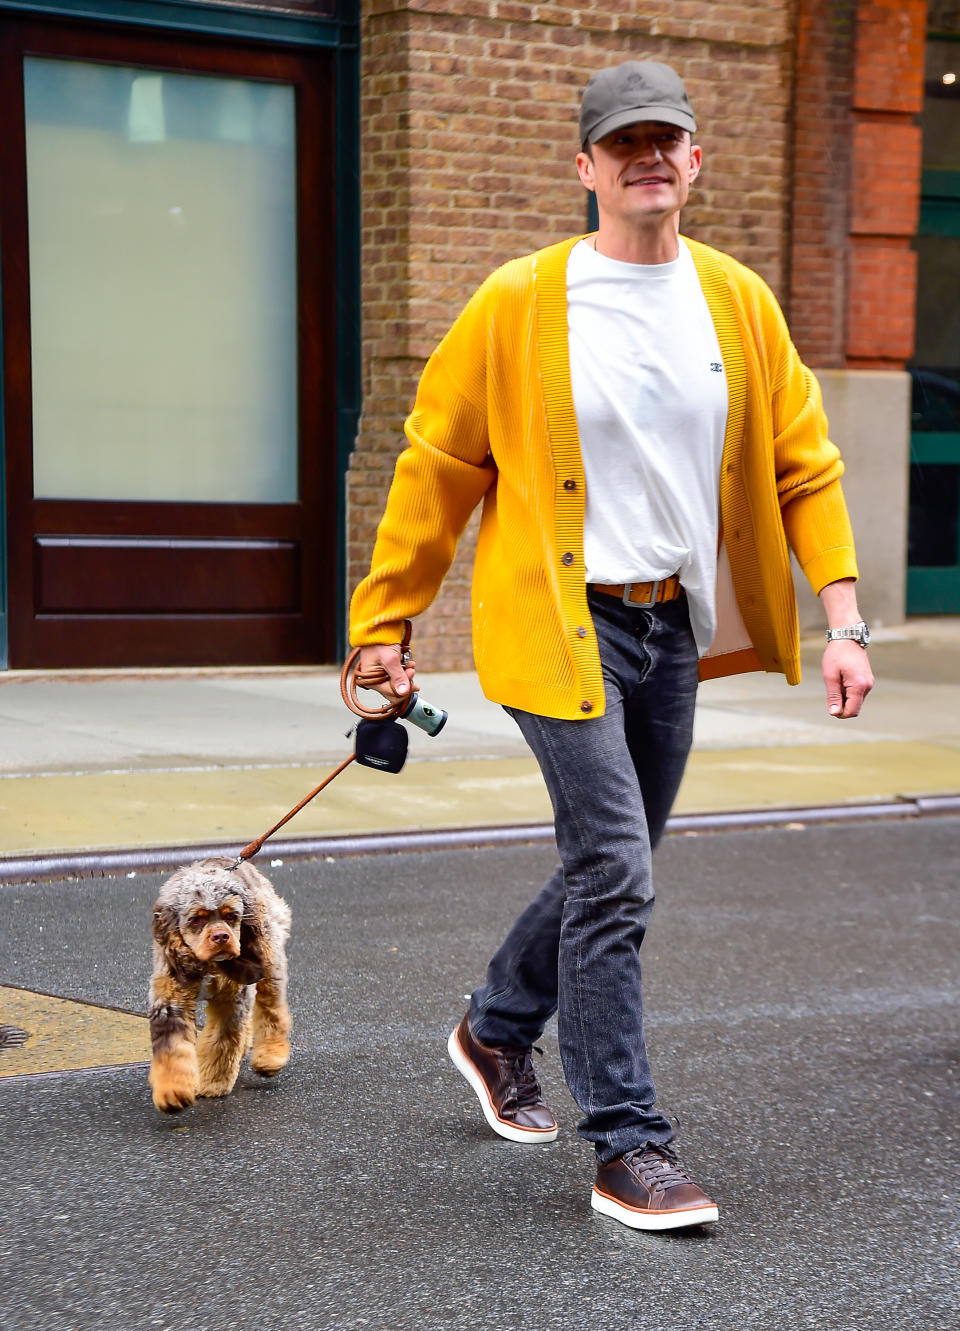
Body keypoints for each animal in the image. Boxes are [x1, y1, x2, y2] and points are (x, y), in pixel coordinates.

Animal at [147, 851, 290, 1112]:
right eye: (196, 920)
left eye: (231, 915)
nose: (222, 937)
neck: (208, 965)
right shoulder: (170, 1000)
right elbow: (172, 1046)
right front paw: (173, 1091)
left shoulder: (233, 999)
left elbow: (222, 1042)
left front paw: (212, 1083)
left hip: (270, 958)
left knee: (272, 1009)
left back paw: (270, 1056)